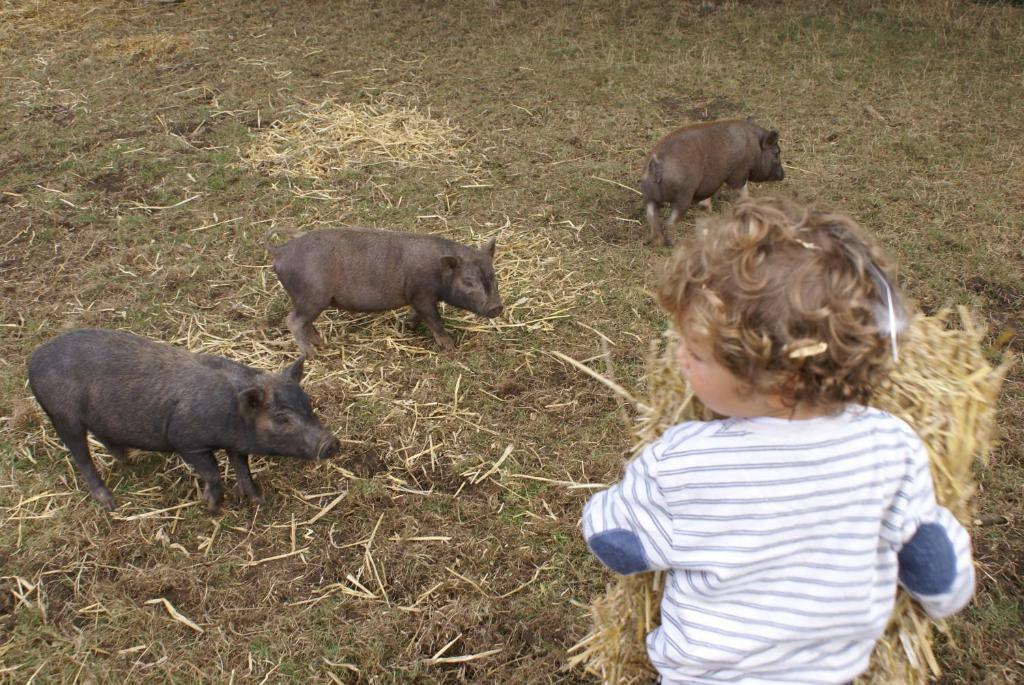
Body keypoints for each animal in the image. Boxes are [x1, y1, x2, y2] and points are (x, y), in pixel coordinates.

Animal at [27, 327, 339, 511]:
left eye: (308, 404)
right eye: (281, 418)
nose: (331, 443)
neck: (231, 412)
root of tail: (33, 360)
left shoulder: (236, 444)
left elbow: (243, 468)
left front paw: (259, 499)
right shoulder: (186, 442)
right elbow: (213, 472)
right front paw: (210, 507)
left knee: (106, 438)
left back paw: (130, 461)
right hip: (62, 416)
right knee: (81, 457)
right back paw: (111, 505)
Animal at [266, 228, 501, 358]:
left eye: (493, 275)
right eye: (468, 281)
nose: (497, 307)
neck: (438, 271)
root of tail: (280, 251)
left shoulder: (420, 298)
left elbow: (421, 316)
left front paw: (407, 325)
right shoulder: (421, 294)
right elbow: (434, 320)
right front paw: (450, 346)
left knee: (305, 323)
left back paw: (322, 343)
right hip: (312, 298)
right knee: (293, 320)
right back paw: (312, 355)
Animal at [638, 118, 782, 245]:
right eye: (776, 153)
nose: (783, 175)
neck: (754, 146)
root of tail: (656, 163)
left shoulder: (712, 181)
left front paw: (706, 208)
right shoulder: (738, 173)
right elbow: (742, 190)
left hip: (649, 197)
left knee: (652, 217)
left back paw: (655, 242)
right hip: (682, 198)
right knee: (669, 222)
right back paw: (674, 243)